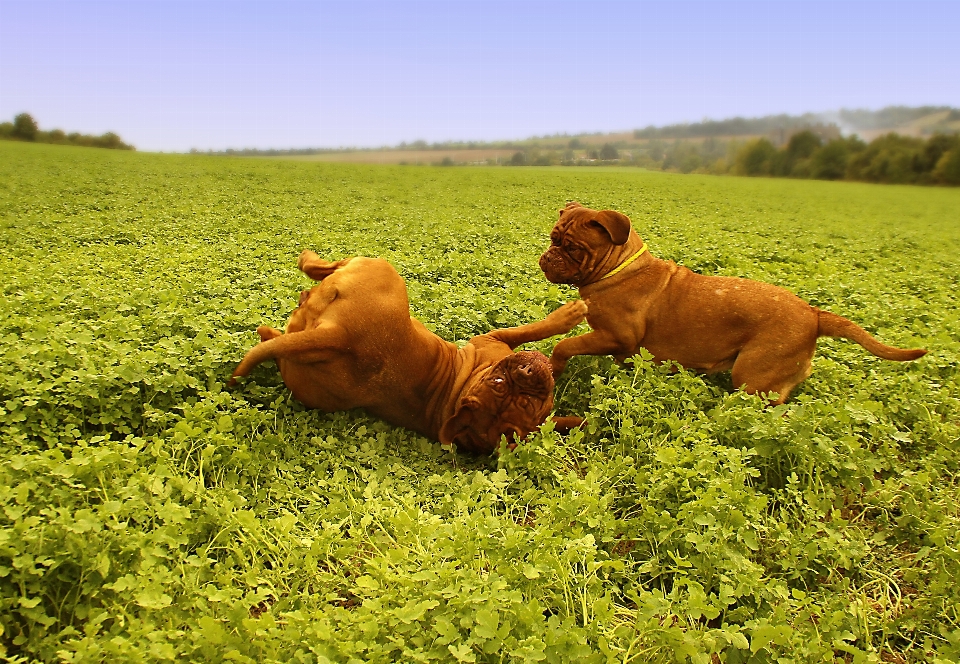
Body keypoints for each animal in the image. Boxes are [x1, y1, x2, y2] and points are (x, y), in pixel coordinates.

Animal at [233, 252, 588, 454]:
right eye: (499, 383)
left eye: (524, 404)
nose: (525, 372)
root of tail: (339, 335)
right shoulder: (494, 337)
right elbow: (536, 328)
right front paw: (571, 313)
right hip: (380, 267)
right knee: (321, 265)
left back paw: (273, 326)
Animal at [540, 201, 924, 404]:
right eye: (552, 238)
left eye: (572, 247)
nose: (547, 258)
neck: (618, 267)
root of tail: (814, 314)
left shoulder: (614, 336)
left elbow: (564, 345)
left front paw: (555, 367)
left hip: (753, 378)